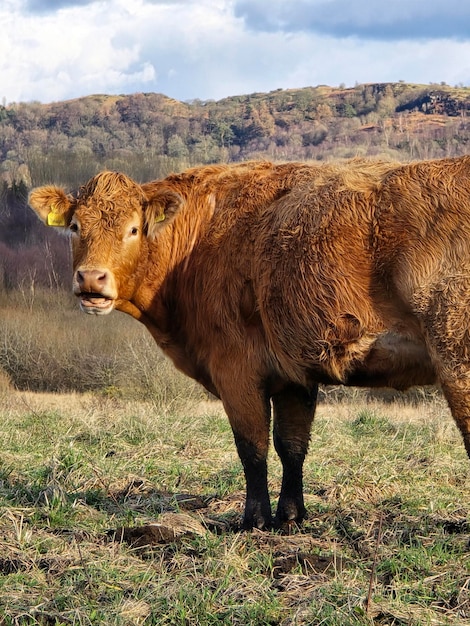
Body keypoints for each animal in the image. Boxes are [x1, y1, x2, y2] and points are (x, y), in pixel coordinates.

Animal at [27, 155, 470, 528]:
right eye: (75, 227)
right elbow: (292, 446)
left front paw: (254, 520)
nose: (91, 278)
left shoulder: (235, 367)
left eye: (133, 229)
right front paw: (291, 518)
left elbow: (252, 446)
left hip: (456, 358)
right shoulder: (294, 372)